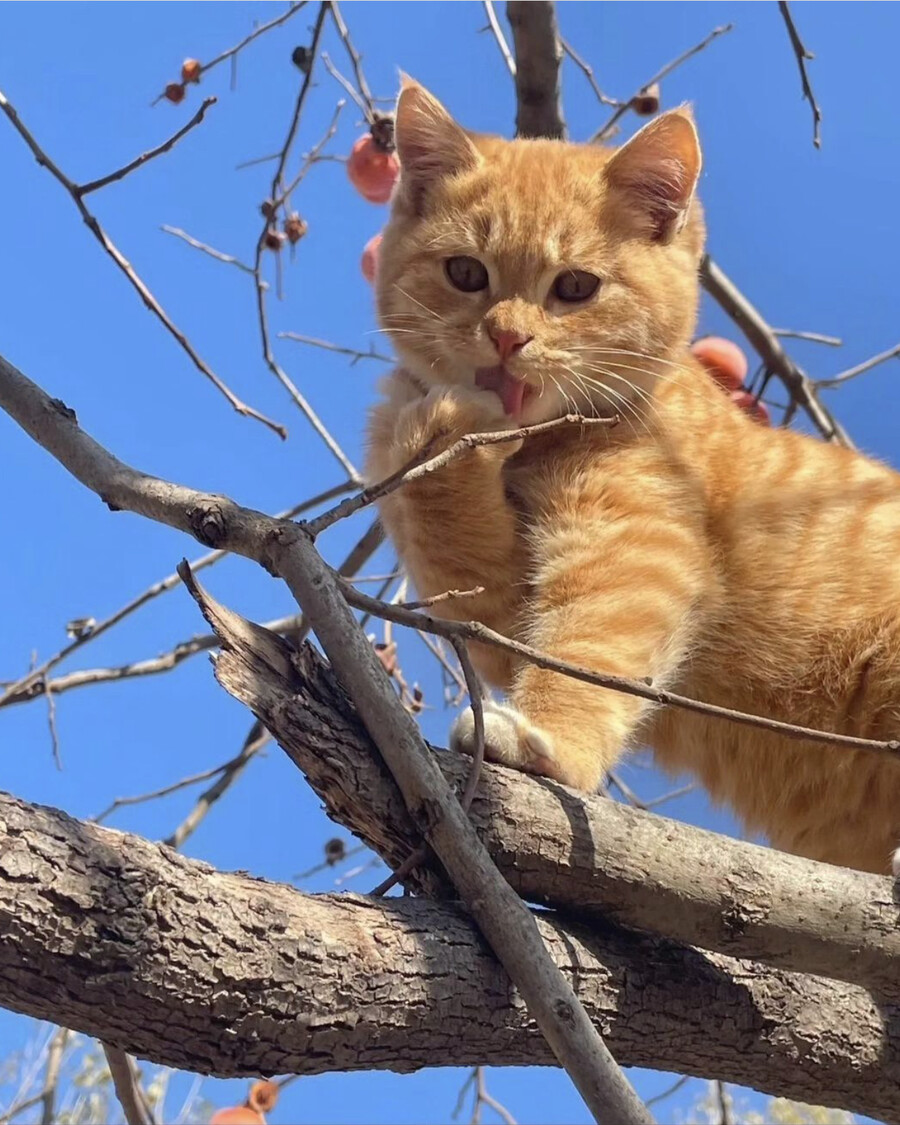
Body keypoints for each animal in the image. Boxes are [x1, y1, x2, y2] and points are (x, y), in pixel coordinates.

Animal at [364, 79, 900, 873]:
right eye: (466, 273)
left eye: (575, 287)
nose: (506, 336)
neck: (538, 445)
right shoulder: (492, 599)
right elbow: (451, 527)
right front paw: (429, 425)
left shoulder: (636, 544)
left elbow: (586, 648)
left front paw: (549, 741)